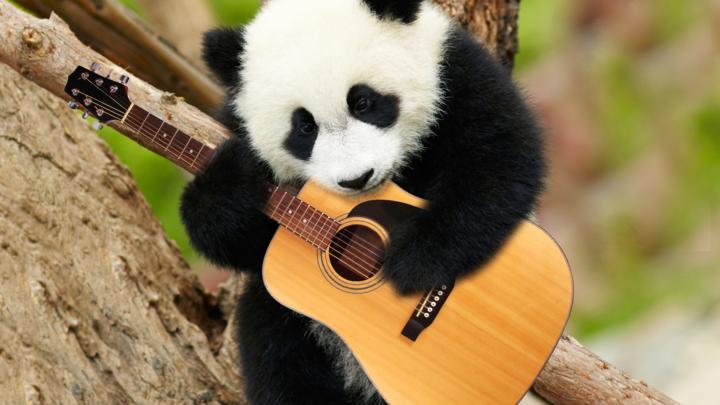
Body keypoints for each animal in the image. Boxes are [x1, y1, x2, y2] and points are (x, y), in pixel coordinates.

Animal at [180, 0, 545, 404]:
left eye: (363, 102)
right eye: (304, 127)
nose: (356, 179)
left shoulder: (456, 74)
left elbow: (499, 158)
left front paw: (415, 262)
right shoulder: (237, 128)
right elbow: (241, 243)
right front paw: (230, 184)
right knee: (274, 352)